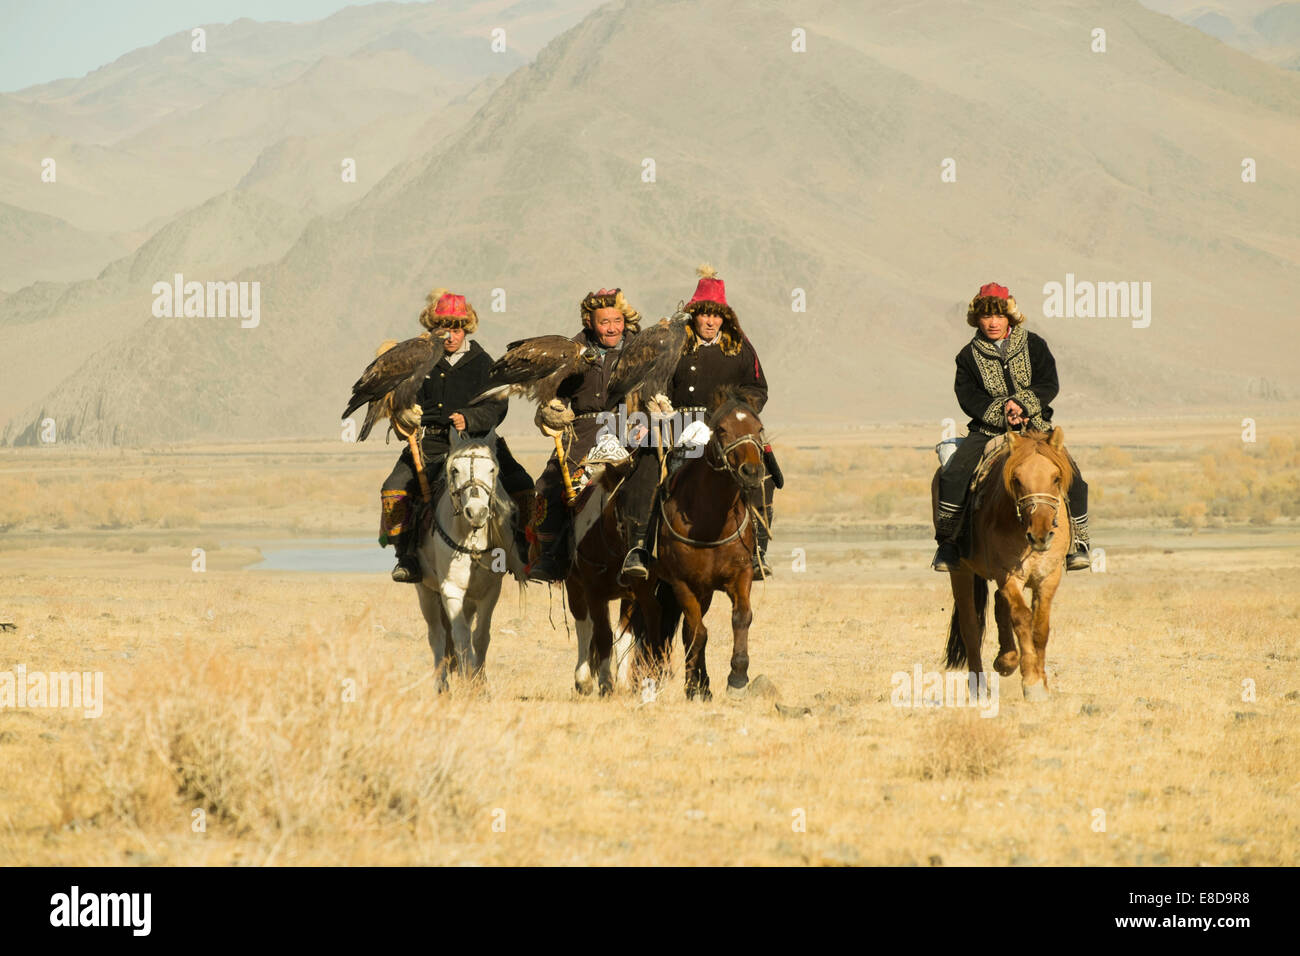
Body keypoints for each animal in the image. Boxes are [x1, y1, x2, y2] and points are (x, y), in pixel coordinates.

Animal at [410, 434, 522, 697]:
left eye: (492, 469)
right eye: (454, 469)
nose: (477, 512)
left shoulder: (490, 592)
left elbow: (480, 636)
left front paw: (479, 683)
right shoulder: (451, 590)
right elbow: (459, 636)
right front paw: (468, 682)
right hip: (425, 591)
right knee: (437, 635)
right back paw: (442, 686)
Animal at [647, 390, 764, 702]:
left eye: (759, 428)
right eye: (721, 429)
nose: (751, 471)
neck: (710, 521)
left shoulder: (741, 576)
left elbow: (741, 618)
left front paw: (737, 678)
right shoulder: (682, 583)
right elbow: (698, 633)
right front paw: (695, 685)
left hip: (705, 591)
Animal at [935, 429, 1076, 702]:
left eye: (1055, 478)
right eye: (1017, 479)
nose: (1041, 535)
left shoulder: (1048, 576)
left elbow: (1040, 626)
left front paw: (1041, 682)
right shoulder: (1008, 574)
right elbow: (1022, 617)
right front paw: (1031, 682)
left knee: (1000, 605)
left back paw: (1006, 659)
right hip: (961, 572)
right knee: (971, 627)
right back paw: (980, 687)